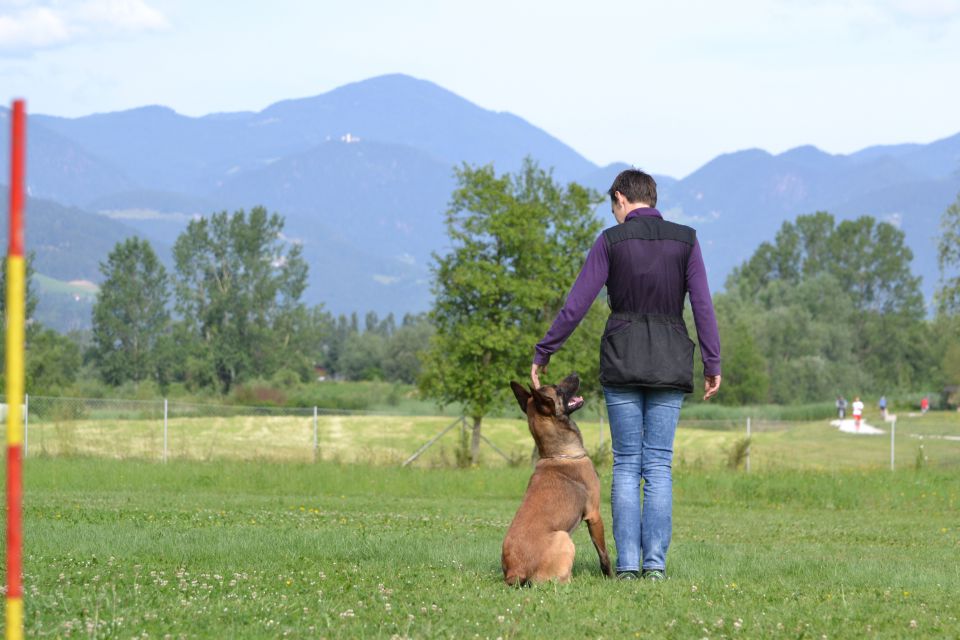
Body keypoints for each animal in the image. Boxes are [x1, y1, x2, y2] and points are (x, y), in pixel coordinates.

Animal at [502, 370, 616, 584]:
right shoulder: (594, 515)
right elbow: (603, 554)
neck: (559, 454)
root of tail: (515, 572)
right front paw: (611, 578)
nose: (575, 373)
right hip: (564, 537)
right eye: (558, 389)